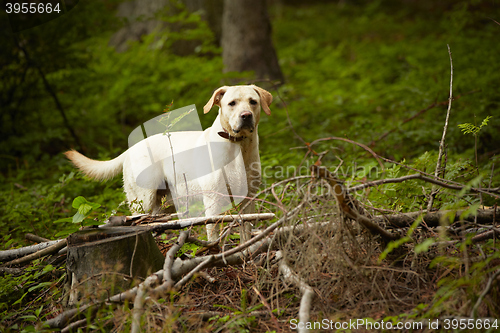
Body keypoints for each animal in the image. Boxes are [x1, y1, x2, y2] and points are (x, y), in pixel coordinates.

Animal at [66, 85, 272, 241]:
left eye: (253, 101)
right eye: (232, 103)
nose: (246, 115)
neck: (239, 145)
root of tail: (130, 150)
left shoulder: (249, 198)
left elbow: (246, 229)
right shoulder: (212, 200)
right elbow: (213, 233)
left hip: (165, 204)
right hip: (143, 201)